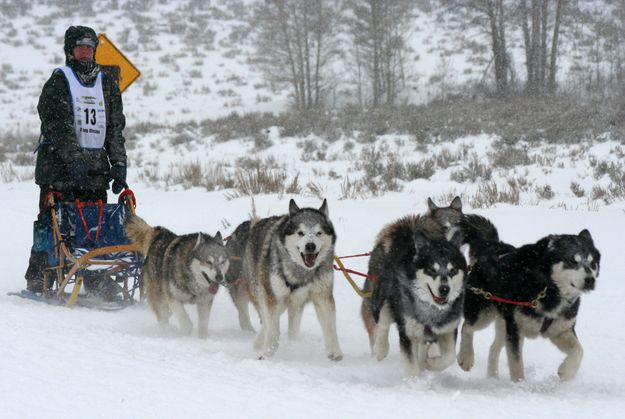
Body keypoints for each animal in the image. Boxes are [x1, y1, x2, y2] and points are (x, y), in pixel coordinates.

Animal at [233, 200, 342, 360]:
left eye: (319, 233)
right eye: (300, 233)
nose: (310, 246)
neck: (300, 271)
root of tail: (258, 223)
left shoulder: (322, 296)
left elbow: (330, 327)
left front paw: (335, 351)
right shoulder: (272, 298)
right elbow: (273, 329)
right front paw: (267, 354)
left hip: (292, 302)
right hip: (268, 295)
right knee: (267, 321)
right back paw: (260, 344)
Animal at [358, 197, 466, 378]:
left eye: (453, 270)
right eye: (431, 269)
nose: (444, 289)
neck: (431, 308)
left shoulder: (447, 329)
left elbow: (448, 357)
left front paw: (430, 364)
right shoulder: (408, 332)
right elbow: (412, 365)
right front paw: (414, 381)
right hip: (383, 295)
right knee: (383, 323)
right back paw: (380, 349)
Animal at [458, 228, 600, 382]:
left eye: (593, 263)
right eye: (572, 261)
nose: (590, 280)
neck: (548, 287)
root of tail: (493, 247)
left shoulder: (561, 330)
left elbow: (579, 351)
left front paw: (567, 371)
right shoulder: (515, 330)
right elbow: (516, 364)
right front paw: (519, 384)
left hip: (503, 324)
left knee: (493, 348)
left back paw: (492, 377)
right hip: (483, 314)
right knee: (467, 327)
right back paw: (466, 357)